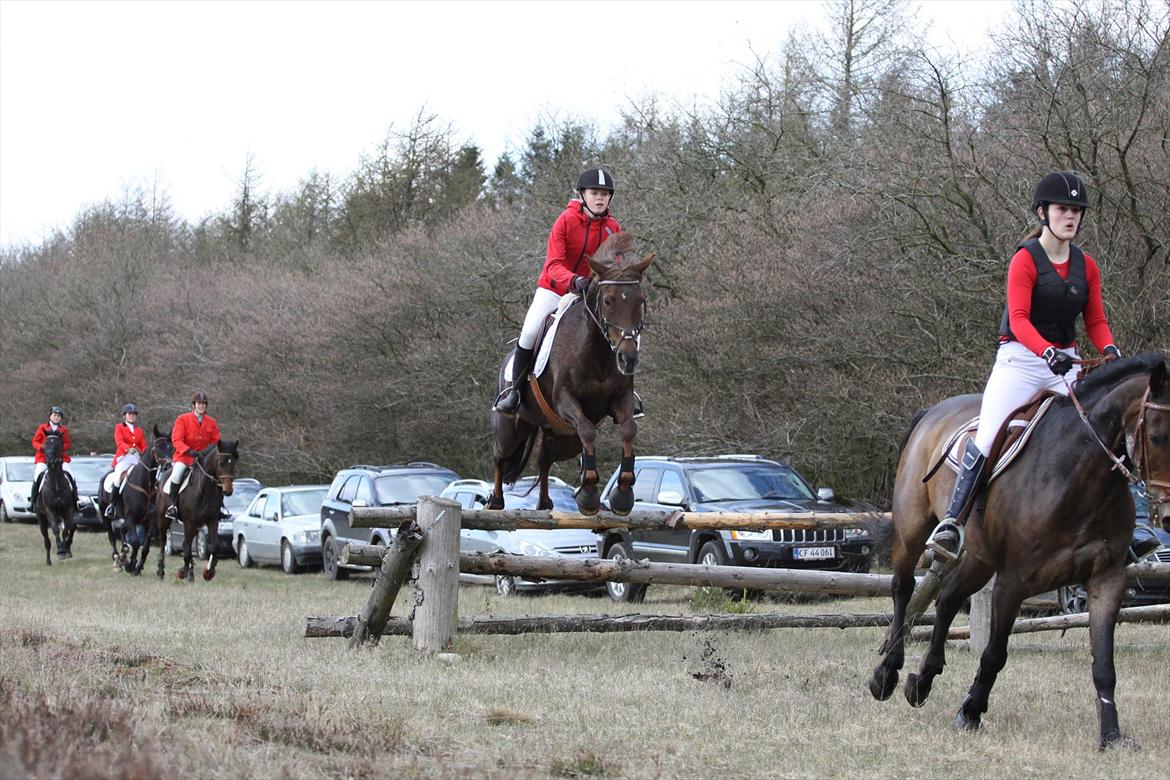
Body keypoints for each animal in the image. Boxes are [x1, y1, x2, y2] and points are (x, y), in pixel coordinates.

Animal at [33, 432, 77, 568]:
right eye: (45, 444)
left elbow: (67, 529)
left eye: (59, 444)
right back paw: (48, 560)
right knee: (46, 539)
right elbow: (56, 530)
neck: (56, 482)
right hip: (41, 518)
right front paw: (60, 550)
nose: (51, 462)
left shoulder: (68, 509)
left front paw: (64, 549)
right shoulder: (50, 510)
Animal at [97, 423, 173, 577]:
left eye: (170, 447)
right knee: (112, 537)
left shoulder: (149, 522)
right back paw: (117, 560)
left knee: (122, 532)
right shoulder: (131, 518)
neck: (145, 484)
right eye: (158, 447)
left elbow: (145, 548)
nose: (168, 466)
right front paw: (130, 565)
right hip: (106, 515)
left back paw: (123, 554)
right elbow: (136, 543)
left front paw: (137, 567)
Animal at [155, 442, 237, 582]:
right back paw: (162, 571)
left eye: (233, 463)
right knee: (164, 541)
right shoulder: (189, 522)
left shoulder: (212, 521)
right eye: (221, 463)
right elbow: (187, 549)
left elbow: (214, 546)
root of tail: (165, 474)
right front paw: (185, 573)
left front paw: (209, 571)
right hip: (163, 519)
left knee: (186, 544)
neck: (204, 490)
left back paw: (188, 571)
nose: (228, 490)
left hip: (196, 526)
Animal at [486, 235, 655, 519]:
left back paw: (545, 503)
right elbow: (587, 430)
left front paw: (622, 494)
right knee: (500, 456)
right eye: (608, 301)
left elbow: (629, 429)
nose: (628, 358)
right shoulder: (566, 399)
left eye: (640, 300)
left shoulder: (621, 399)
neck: (597, 351)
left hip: (562, 437)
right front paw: (589, 493)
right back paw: (496, 501)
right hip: (512, 428)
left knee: (544, 458)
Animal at [870, 353, 1170, 748]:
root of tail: (932, 412)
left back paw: (921, 682)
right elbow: (995, 653)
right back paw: (886, 675)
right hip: (912, 530)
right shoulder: (1013, 582)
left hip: (979, 558)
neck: (1076, 476)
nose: (1169, 514)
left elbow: (1105, 663)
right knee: (903, 590)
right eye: (1157, 436)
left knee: (948, 598)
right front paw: (969, 712)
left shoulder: (1107, 581)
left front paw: (1111, 736)